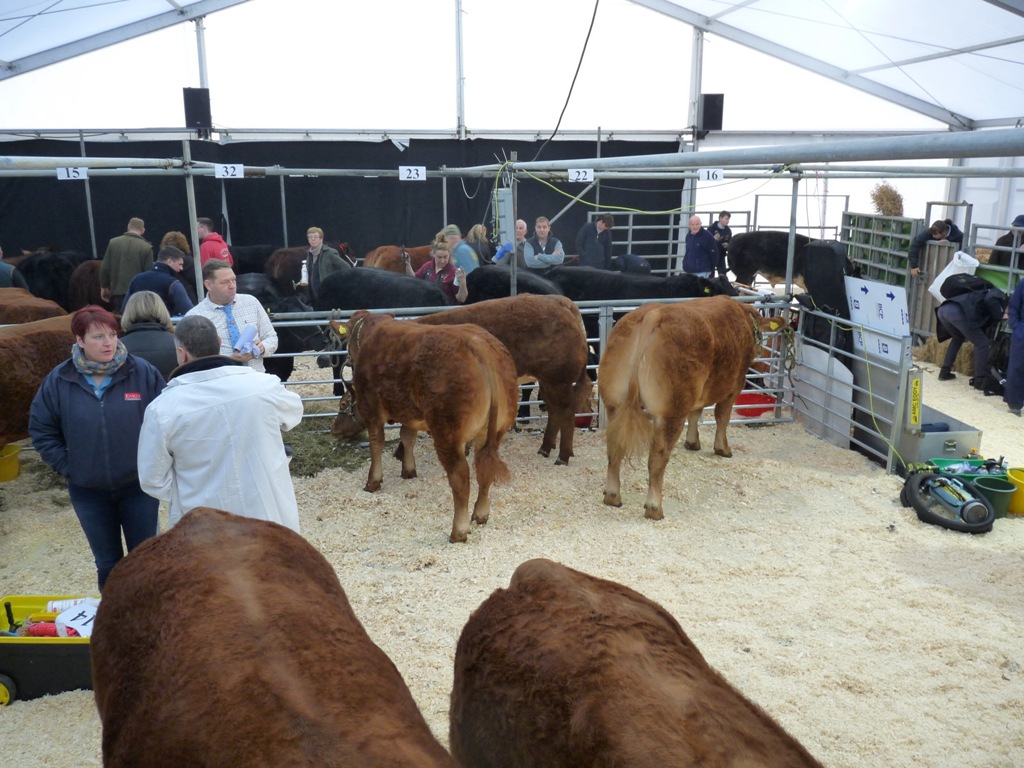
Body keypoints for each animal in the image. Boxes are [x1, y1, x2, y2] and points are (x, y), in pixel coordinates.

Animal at [342, 309, 516, 544]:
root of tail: (477, 342)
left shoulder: (370, 406)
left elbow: (376, 444)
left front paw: (373, 481)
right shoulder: (411, 412)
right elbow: (407, 436)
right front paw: (408, 470)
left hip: (447, 431)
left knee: (460, 476)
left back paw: (458, 532)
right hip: (496, 429)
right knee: (484, 469)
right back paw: (480, 514)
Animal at [598, 296, 774, 520]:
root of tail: (653, 315)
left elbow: (696, 413)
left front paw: (692, 442)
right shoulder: (735, 385)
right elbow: (722, 417)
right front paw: (723, 449)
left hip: (614, 403)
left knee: (614, 448)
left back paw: (613, 496)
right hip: (671, 411)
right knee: (657, 457)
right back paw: (654, 508)